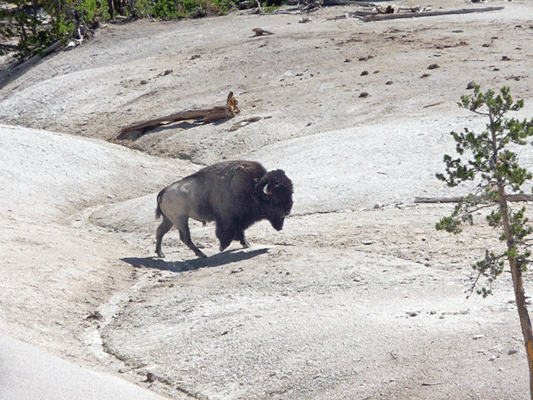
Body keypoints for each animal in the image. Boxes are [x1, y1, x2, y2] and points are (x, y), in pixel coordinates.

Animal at [154, 160, 296, 258]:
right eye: (275, 199)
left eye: (290, 192)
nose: (287, 211)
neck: (253, 188)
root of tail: (163, 191)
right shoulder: (226, 219)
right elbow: (227, 233)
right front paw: (222, 247)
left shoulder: (239, 220)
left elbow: (240, 231)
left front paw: (246, 244)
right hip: (180, 220)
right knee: (185, 237)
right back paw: (202, 254)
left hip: (170, 220)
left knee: (160, 232)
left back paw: (160, 253)